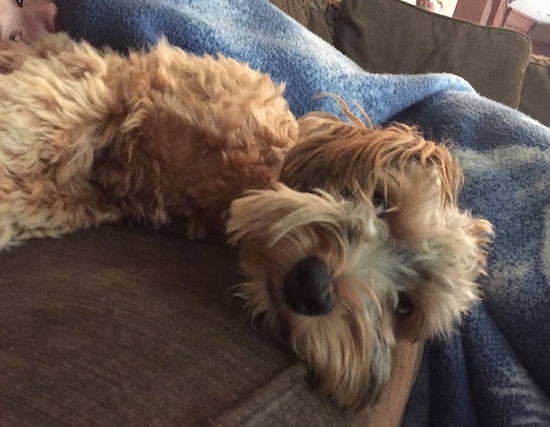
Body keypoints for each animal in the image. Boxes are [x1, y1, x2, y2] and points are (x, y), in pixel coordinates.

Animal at [0, 33, 492, 414]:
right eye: (381, 201)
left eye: (405, 307)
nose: (313, 288)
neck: (240, 174)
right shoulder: (117, 83)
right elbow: (43, 121)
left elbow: (47, 192)